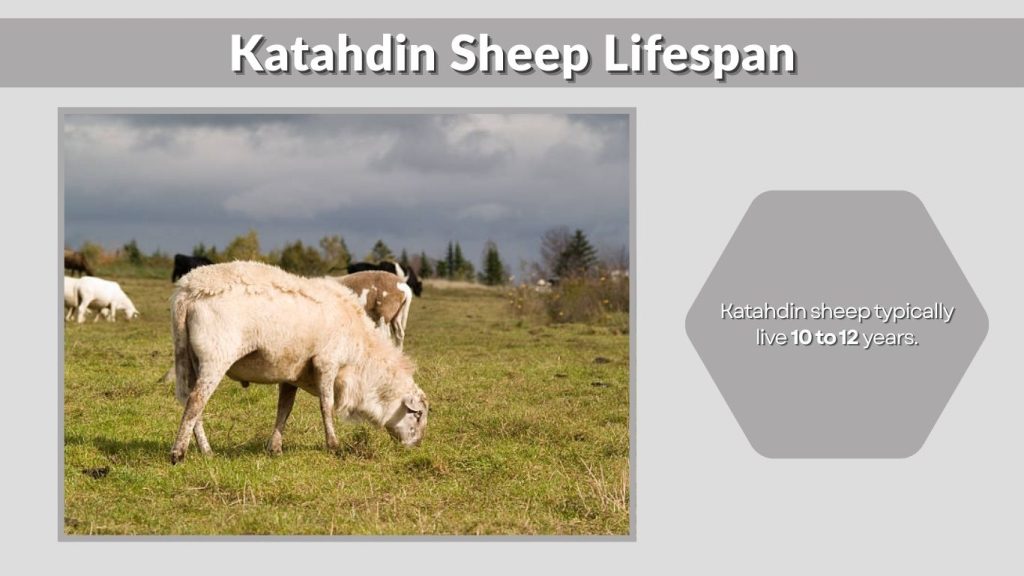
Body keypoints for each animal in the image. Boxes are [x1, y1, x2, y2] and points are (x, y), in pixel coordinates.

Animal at [169, 261, 429, 464]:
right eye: (417, 415)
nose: (417, 446)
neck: (361, 361)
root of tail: (188, 289)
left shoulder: (291, 373)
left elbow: (284, 409)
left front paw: (275, 448)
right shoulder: (327, 362)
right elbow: (327, 405)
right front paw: (333, 445)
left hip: (189, 358)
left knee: (190, 400)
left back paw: (205, 451)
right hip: (217, 356)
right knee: (196, 401)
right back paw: (179, 453)